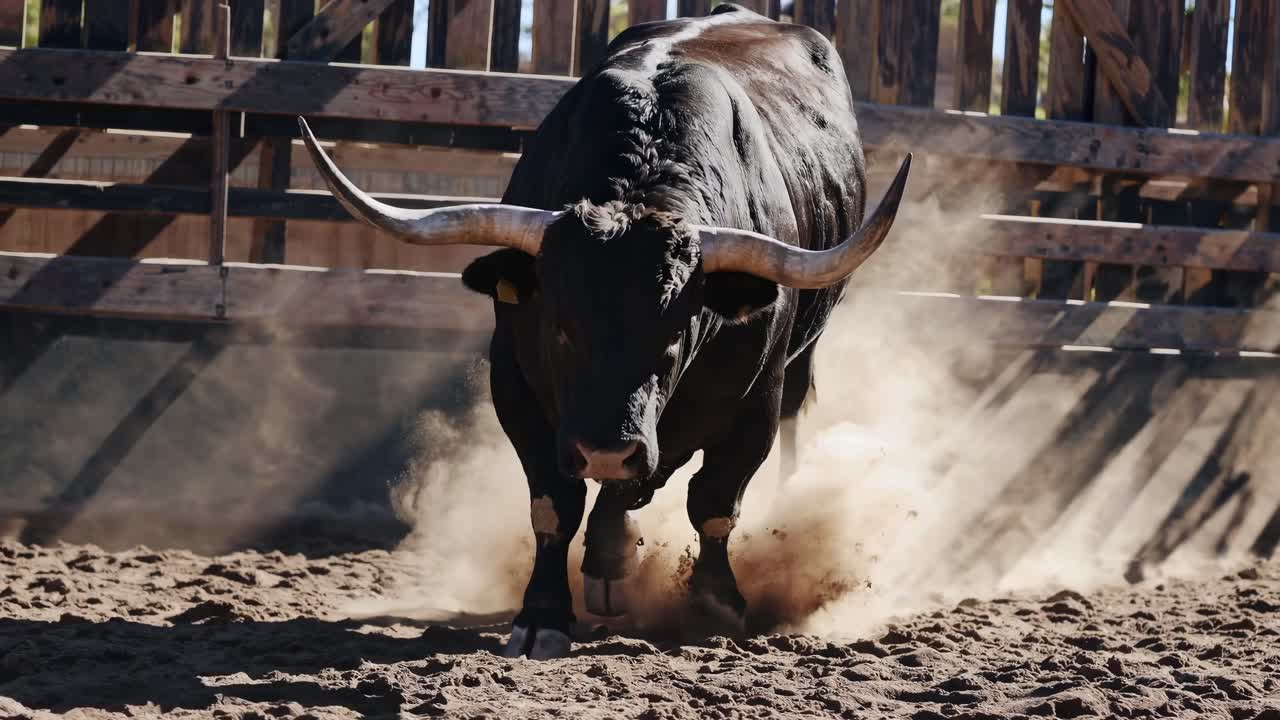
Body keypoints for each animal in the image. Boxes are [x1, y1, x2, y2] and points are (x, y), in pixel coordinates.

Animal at [298, 3, 910, 659]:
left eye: (674, 336)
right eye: (561, 329)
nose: (606, 450)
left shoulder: (754, 403)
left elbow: (714, 502)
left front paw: (715, 603)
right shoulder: (515, 386)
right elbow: (554, 505)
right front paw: (545, 612)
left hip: (799, 362)